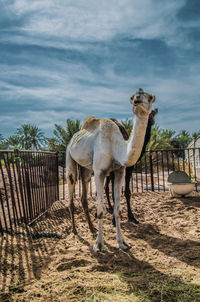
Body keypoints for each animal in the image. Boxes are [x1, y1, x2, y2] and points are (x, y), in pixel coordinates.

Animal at [66, 88, 155, 251]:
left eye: (151, 97)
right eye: (132, 97)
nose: (137, 99)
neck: (116, 146)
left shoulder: (119, 171)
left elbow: (117, 209)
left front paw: (122, 243)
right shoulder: (99, 172)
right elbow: (101, 210)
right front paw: (99, 245)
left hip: (86, 168)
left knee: (84, 190)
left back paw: (91, 228)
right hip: (69, 155)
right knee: (71, 179)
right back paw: (75, 231)